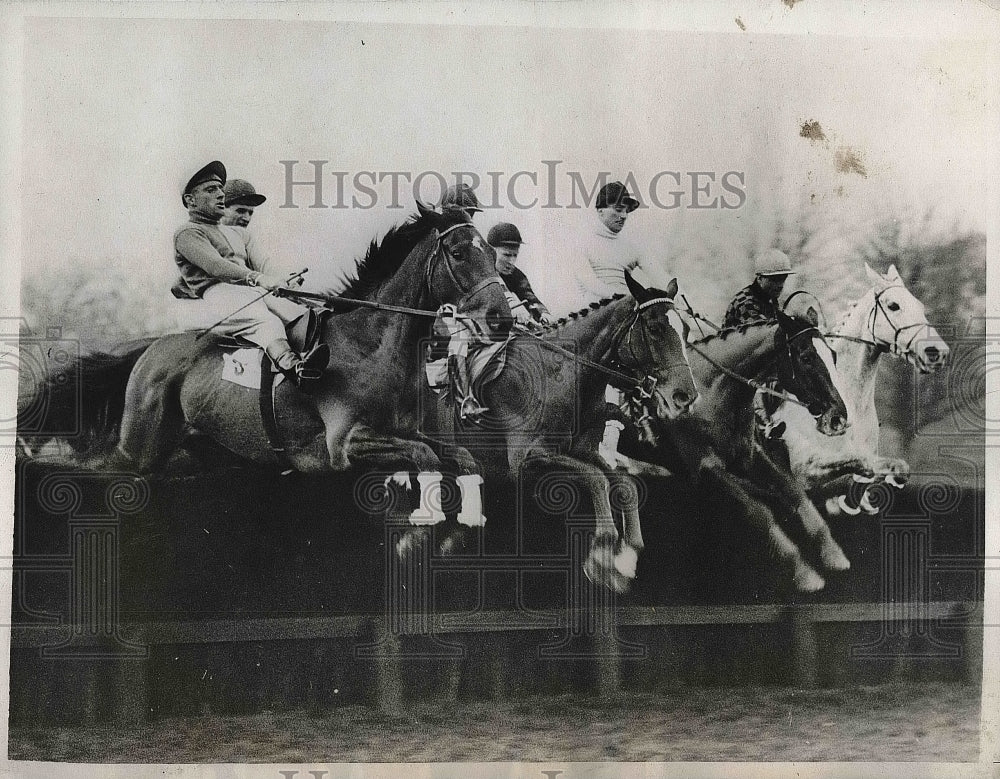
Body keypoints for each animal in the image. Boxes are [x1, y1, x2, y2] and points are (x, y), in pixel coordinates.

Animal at [18, 204, 512, 528]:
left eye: (492, 253)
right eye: (460, 254)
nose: (502, 320)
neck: (370, 347)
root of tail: (150, 349)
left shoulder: (409, 432)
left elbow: (461, 456)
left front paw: (472, 514)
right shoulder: (344, 445)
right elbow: (424, 455)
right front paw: (429, 511)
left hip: (198, 450)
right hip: (138, 449)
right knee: (98, 465)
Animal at [426, 272, 700, 592]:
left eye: (685, 329)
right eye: (655, 329)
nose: (686, 397)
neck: (563, 373)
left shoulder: (584, 451)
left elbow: (624, 483)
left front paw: (626, 557)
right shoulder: (529, 460)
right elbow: (596, 479)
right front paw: (602, 554)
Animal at [624, 310, 852, 592]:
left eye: (833, 354)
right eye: (806, 357)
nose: (838, 418)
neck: (710, 394)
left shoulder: (752, 457)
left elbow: (796, 494)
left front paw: (834, 554)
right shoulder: (706, 468)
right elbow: (759, 512)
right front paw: (804, 573)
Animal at [772, 266, 952, 516]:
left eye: (920, 306)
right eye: (893, 305)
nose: (937, 352)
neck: (851, 402)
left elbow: (889, 468)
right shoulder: (804, 469)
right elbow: (860, 463)